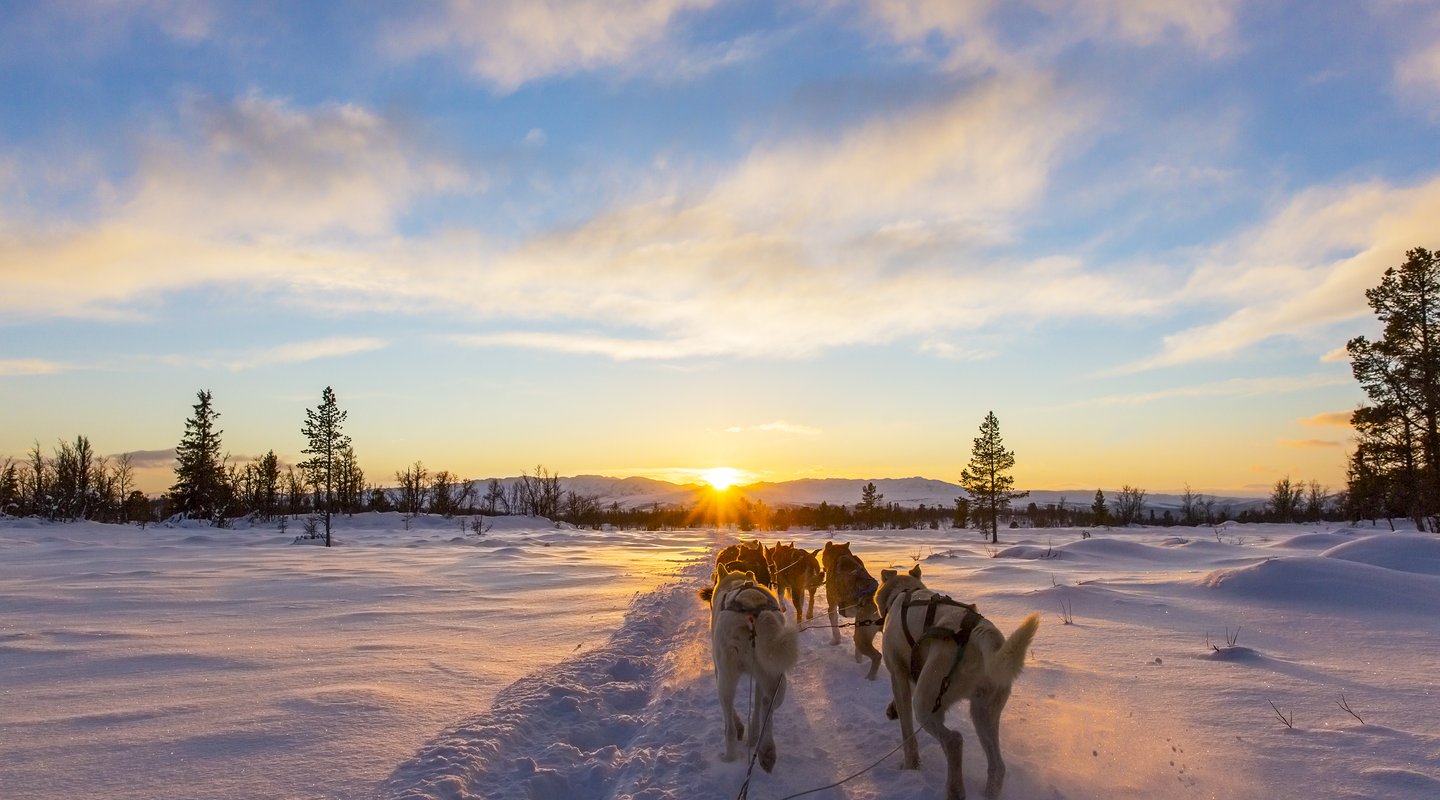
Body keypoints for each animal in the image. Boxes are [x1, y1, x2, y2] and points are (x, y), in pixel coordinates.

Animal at [696, 558, 800, 771]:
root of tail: (754, 613)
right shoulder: (760, 679)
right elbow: (759, 705)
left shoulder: (719, 671)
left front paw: (741, 729)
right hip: (774, 676)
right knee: (768, 707)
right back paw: (765, 748)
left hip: (727, 679)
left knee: (728, 724)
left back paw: (729, 756)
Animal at [869, 566, 1042, 794]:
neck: (903, 592)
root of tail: (979, 633)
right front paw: (892, 709)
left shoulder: (898, 674)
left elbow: (907, 733)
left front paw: (910, 766)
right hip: (984, 712)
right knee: (997, 767)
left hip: (926, 703)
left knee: (954, 741)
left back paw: (955, 790)